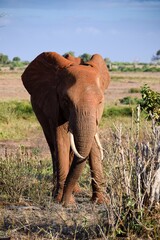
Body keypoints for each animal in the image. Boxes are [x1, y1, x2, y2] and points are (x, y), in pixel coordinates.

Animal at [21, 52, 110, 206]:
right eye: (66, 101)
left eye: (100, 101)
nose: (66, 202)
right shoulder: (54, 104)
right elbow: (61, 138)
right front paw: (60, 200)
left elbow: (92, 145)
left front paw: (100, 202)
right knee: (53, 146)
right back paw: (57, 191)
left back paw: (76, 191)